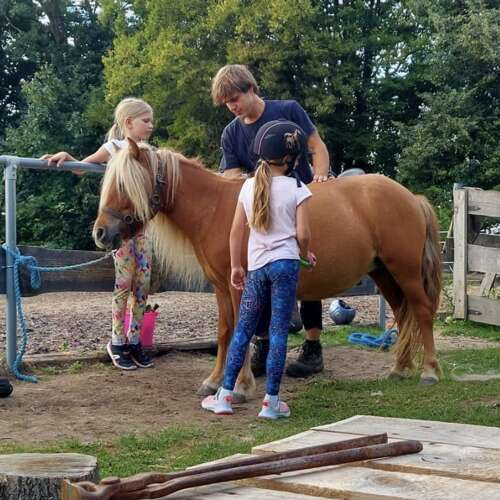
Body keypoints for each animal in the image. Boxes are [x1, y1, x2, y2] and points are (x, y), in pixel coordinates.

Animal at [93, 142, 442, 402]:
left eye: (123, 185)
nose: (100, 233)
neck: (218, 210)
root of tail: (411, 197)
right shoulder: (222, 287)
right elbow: (225, 331)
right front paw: (214, 380)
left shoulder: (240, 287)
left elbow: (241, 332)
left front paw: (239, 386)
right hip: (384, 273)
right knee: (403, 313)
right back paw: (399, 369)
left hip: (405, 271)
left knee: (422, 312)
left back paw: (429, 371)